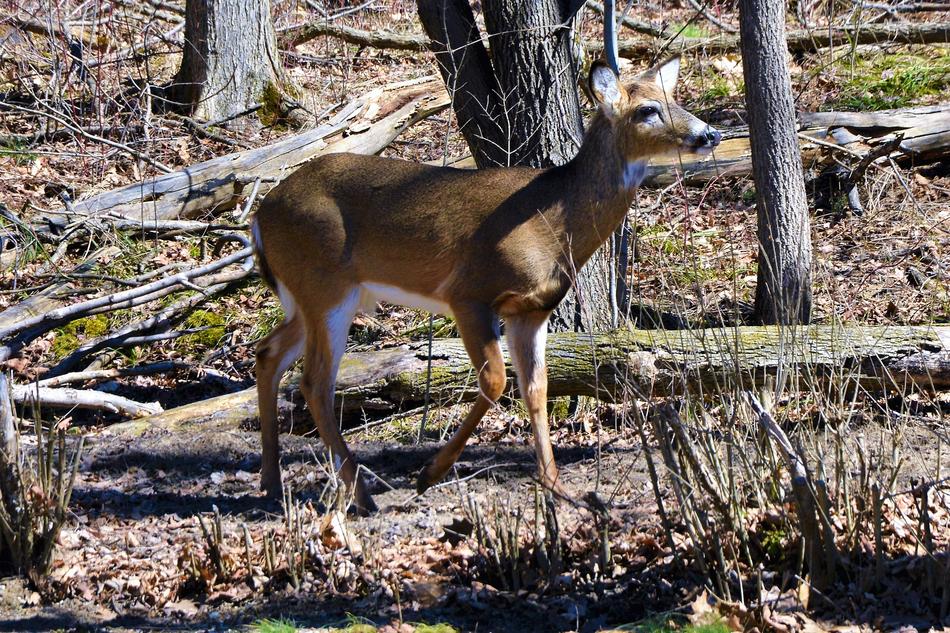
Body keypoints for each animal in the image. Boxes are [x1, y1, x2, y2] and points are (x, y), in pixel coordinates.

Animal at [250, 10, 721, 515]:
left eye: (676, 99)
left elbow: (536, 387)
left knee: (269, 353)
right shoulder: (469, 291)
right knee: (315, 382)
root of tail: (259, 213)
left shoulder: (531, 311)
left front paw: (557, 487)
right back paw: (359, 493)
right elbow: (495, 382)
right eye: (648, 109)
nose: (709, 133)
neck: (555, 223)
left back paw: (273, 483)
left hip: (312, 295)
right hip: (326, 286)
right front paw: (430, 472)